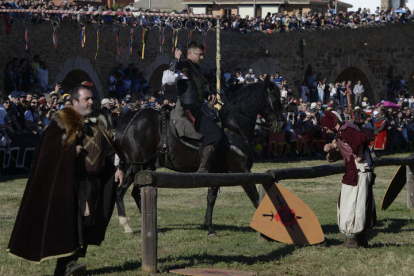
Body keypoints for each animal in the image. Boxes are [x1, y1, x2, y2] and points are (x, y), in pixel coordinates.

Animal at [115, 78, 286, 237]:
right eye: (277, 99)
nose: (282, 125)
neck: (234, 127)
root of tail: (124, 124)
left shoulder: (217, 173)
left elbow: (211, 198)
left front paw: (209, 227)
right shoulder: (242, 171)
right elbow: (257, 200)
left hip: (142, 166)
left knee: (126, 192)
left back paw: (134, 227)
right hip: (138, 166)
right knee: (131, 192)